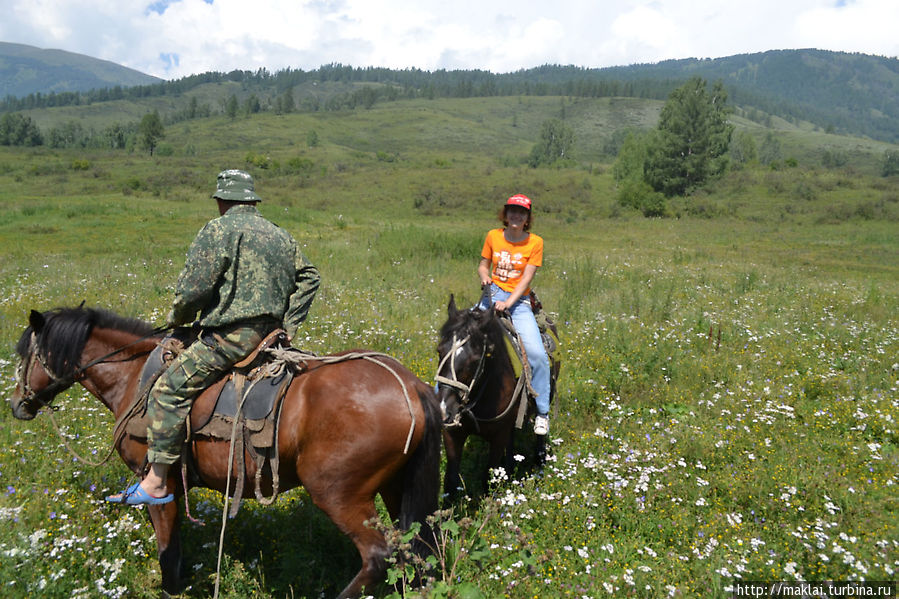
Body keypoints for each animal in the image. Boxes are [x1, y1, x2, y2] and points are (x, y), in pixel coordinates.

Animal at [6, 308, 442, 596]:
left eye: (24, 355)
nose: (16, 404)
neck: (134, 377)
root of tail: (411, 385)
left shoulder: (159, 485)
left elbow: (168, 554)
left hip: (338, 494)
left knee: (379, 556)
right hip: (395, 489)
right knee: (418, 553)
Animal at [436, 296, 556, 502]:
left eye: (475, 360)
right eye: (439, 351)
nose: (444, 410)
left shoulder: (498, 436)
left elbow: (489, 477)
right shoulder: (453, 433)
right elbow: (450, 481)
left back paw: (540, 457)